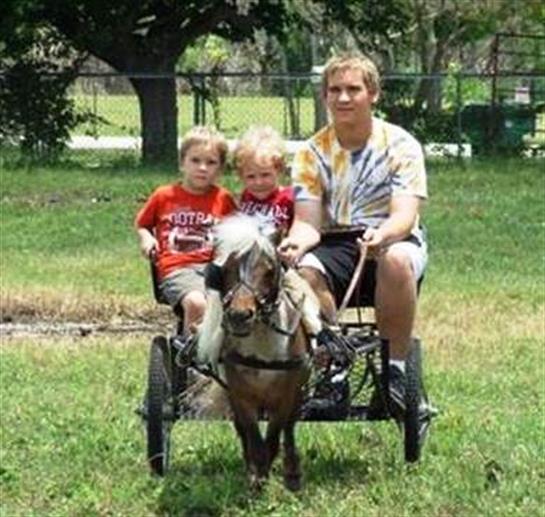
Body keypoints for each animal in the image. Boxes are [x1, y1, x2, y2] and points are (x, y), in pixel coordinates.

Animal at [197, 214, 314, 491]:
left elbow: (274, 436)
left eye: (270, 269)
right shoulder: (240, 396)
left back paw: (291, 471)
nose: (239, 316)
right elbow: (252, 437)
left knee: (289, 428)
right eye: (226, 269)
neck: (263, 350)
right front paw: (256, 477)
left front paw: (273, 473)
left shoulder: (286, 395)